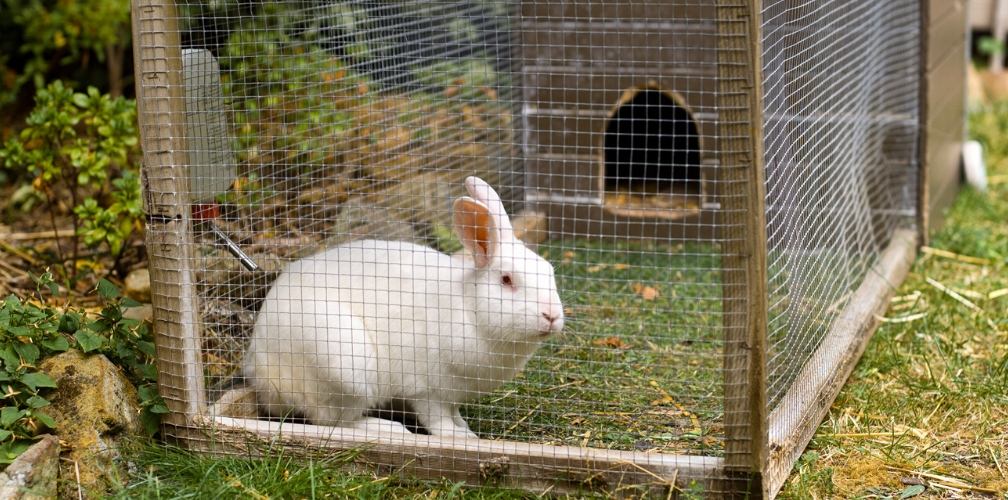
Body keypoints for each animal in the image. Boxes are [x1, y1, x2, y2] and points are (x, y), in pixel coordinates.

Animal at [239, 175, 564, 437]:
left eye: (550, 271)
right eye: (507, 279)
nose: (552, 316)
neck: (470, 310)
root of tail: (260, 372)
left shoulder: (453, 394)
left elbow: (454, 413)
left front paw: (464, 427)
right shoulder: (427, 389)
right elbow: (437, 419)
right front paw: (461, 438)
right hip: (344, 366)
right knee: (333, 421)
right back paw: (389, 428)